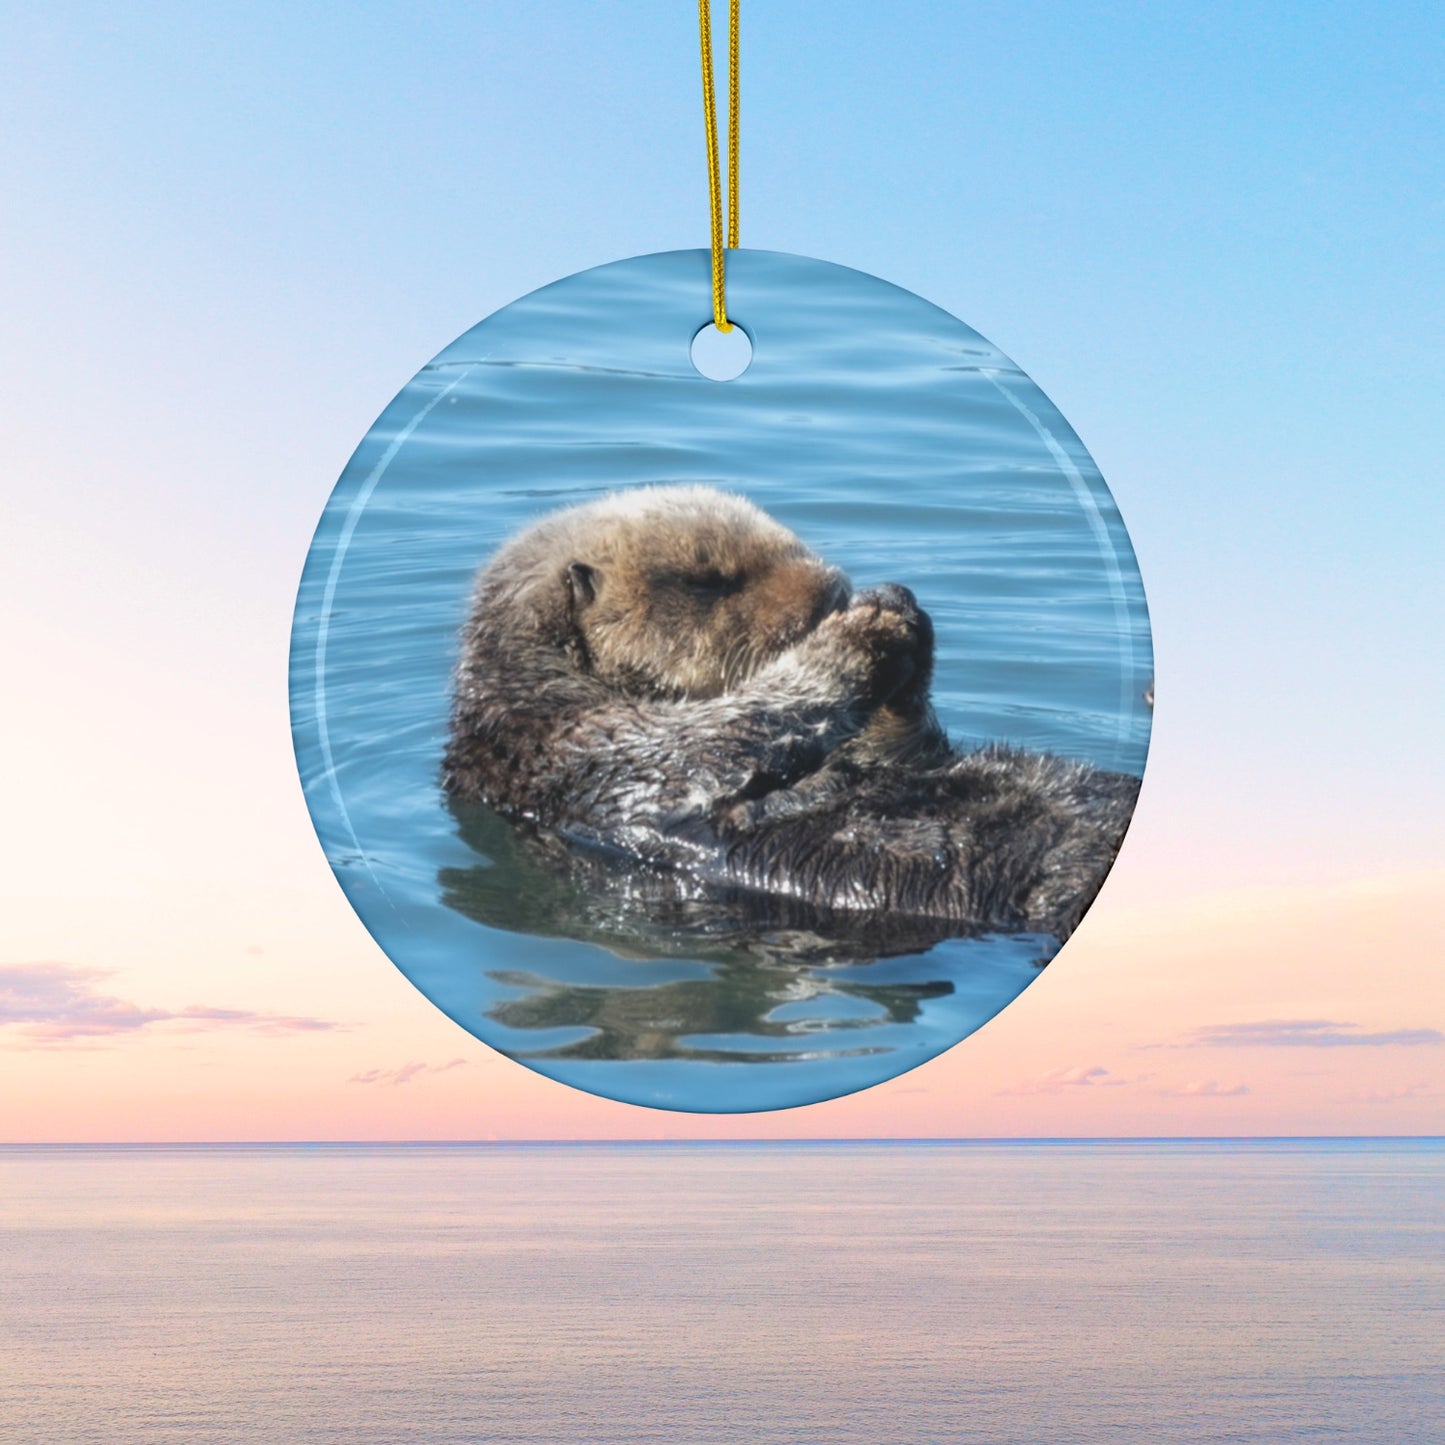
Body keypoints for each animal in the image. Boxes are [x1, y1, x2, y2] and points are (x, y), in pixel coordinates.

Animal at [442, 486, 1139, 943]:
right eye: (709, 581)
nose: (834, 588)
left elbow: (903, 751)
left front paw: (894, 606)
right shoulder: (585, 748)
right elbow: (713, 738)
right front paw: (863, 631)